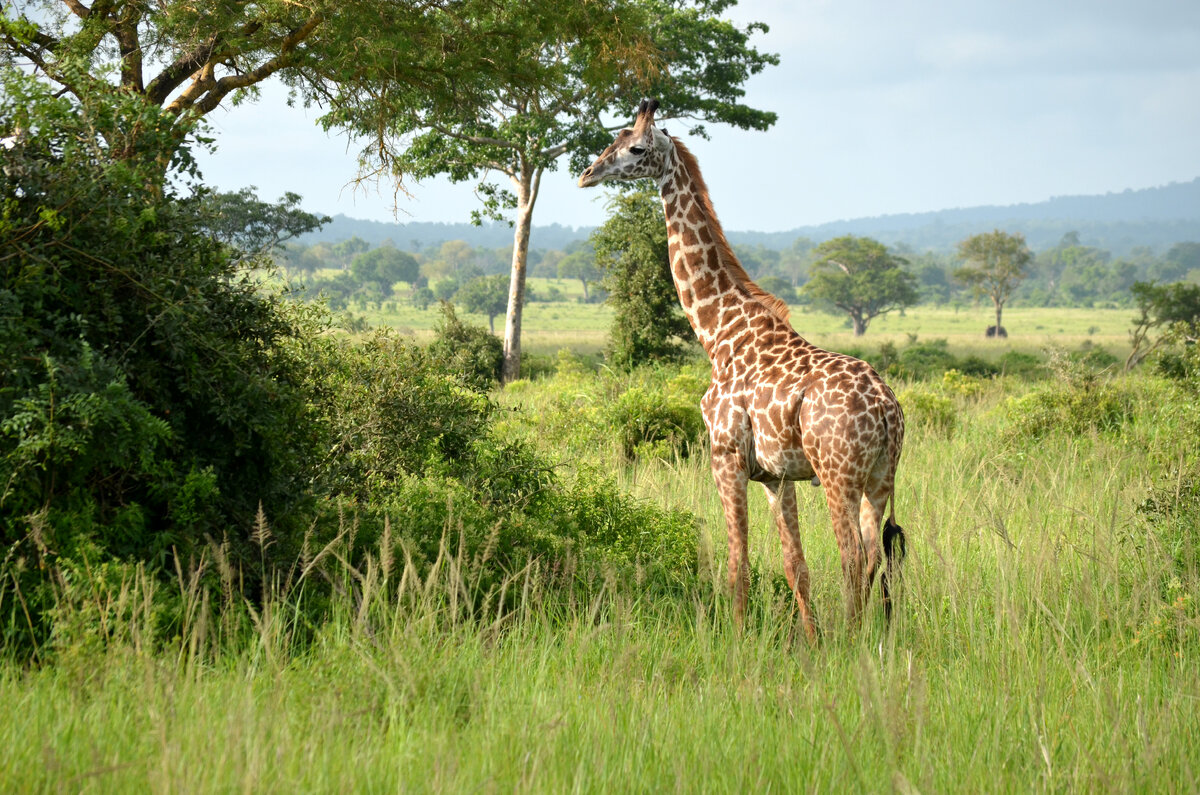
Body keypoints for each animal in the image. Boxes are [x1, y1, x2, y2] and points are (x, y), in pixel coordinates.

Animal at [576, 99, 902, 638]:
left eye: (636, 148)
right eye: (613, 138)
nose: (586, 174)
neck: (717, 332)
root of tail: (886, 411)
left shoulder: (724, 457)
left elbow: (737, 563)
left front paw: (735, 636)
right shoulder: (775, 475)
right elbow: (795, 565)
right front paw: (811, 641)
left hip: (839, 474)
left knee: (853, 557)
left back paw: (852, 640)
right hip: (881, 477)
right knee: (876, 556)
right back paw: (866, 638)